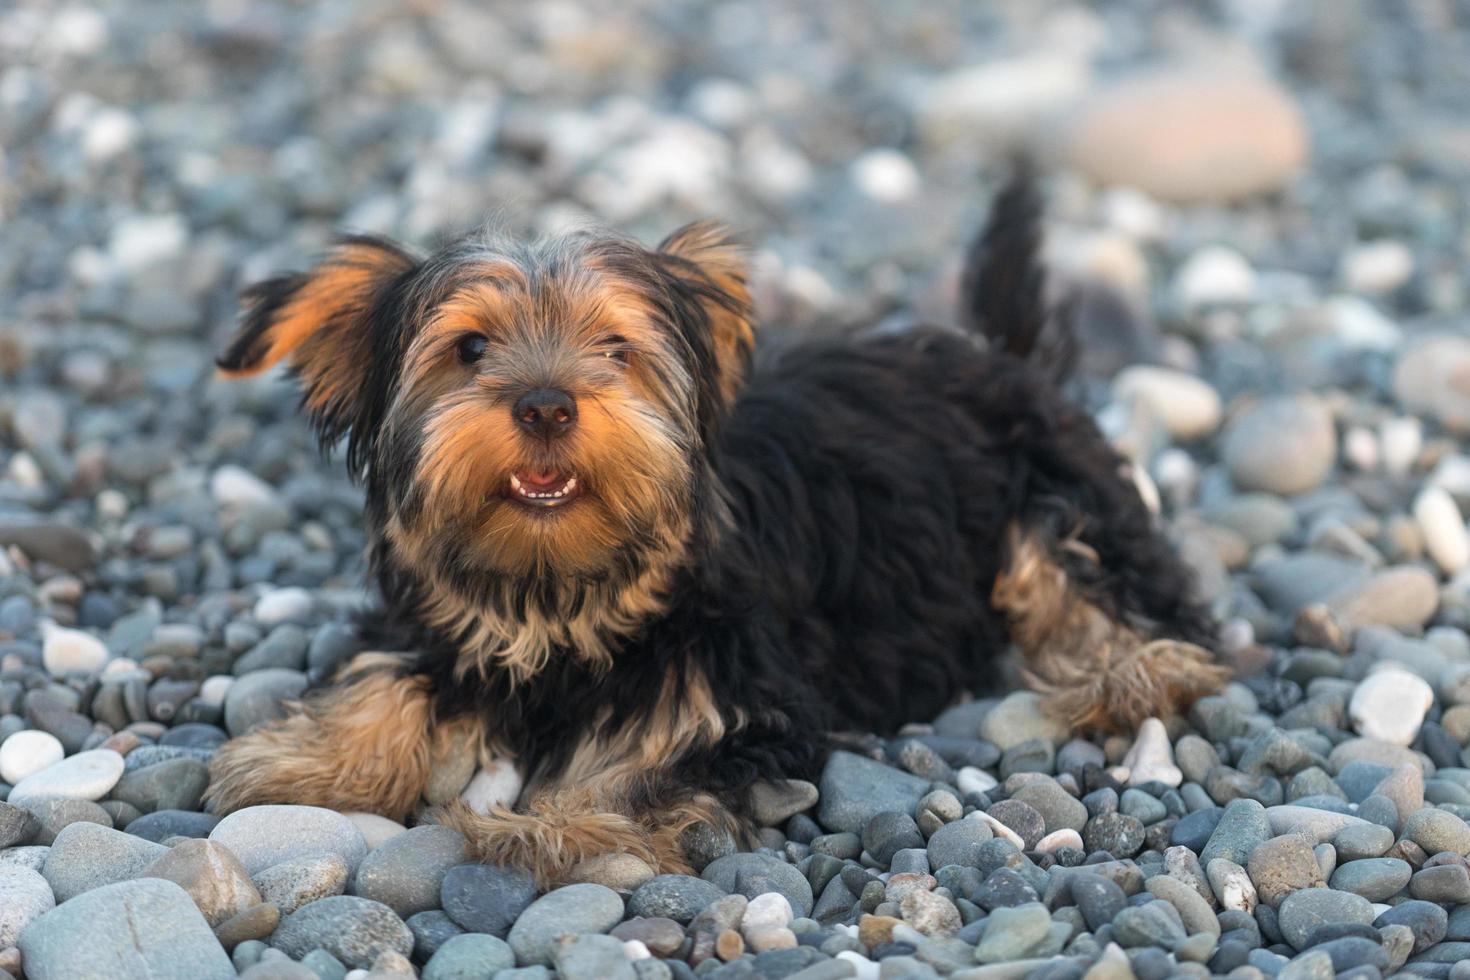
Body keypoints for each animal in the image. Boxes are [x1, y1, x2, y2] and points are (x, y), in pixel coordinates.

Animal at [201, 172, 1223, 887]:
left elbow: (653, 764)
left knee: (1093, 571)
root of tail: (1001, 359)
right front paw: (309, 756)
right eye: (470, 348)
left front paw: (552, 826)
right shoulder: (442, 609)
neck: (557, 587)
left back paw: (1131, 670)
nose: (545, 404)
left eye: (616, 349)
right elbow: (390, 668)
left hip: (1048, 485)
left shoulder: (736, 685)